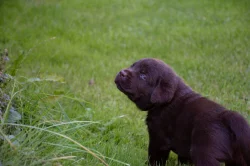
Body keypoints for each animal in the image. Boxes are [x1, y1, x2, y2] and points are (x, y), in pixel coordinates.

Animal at [114, 58, 250, 166]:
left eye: (143, 76)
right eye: (132, 66)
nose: (121, 72)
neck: (167, 101)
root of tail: (227, 116)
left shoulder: (158, 139)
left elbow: (155, 157)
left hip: (204, 152)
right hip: (238, 158)